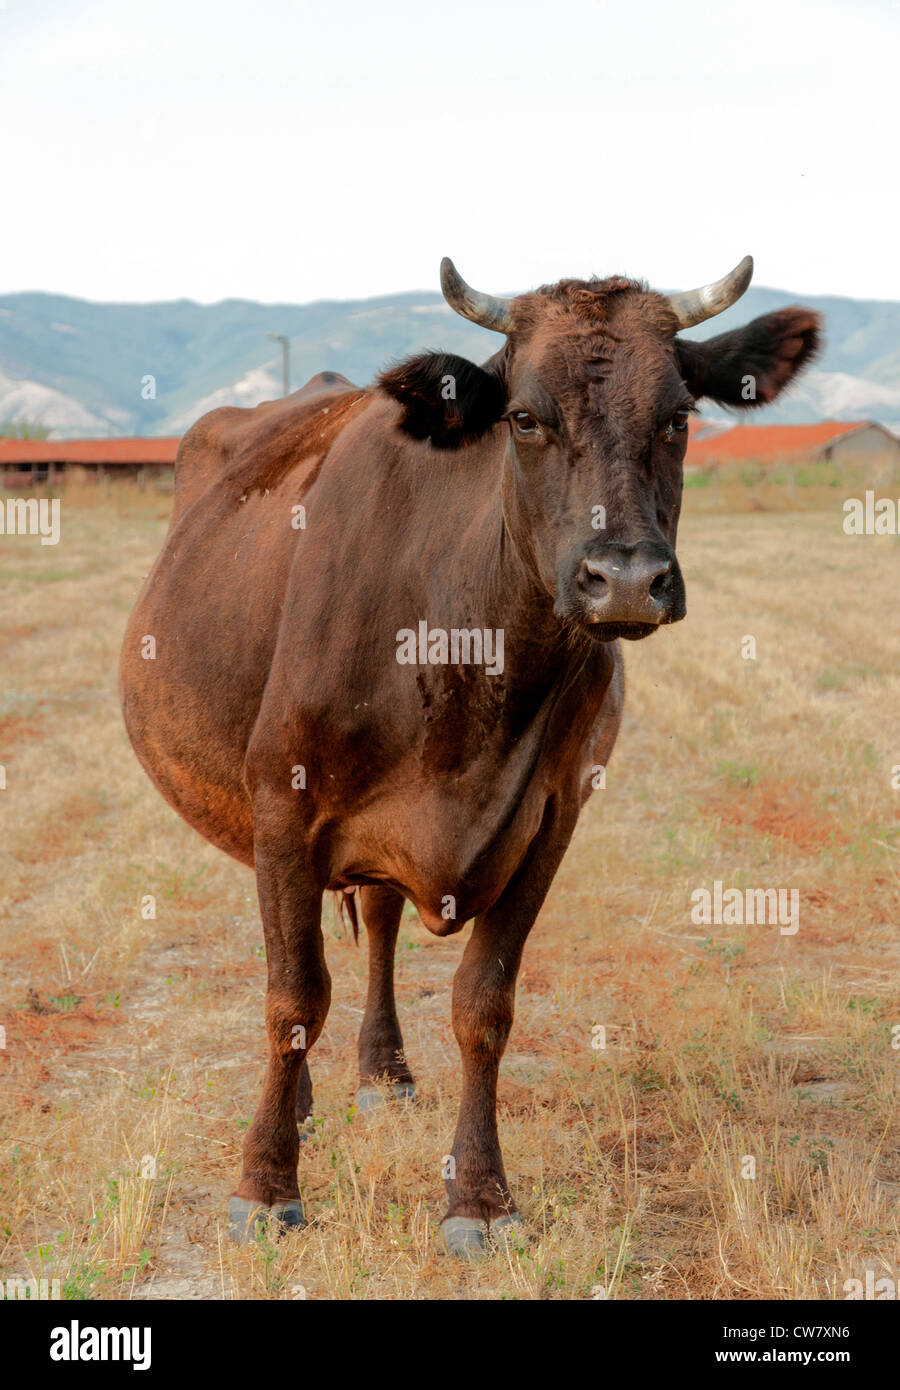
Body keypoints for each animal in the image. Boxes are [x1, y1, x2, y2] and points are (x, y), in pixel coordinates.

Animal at [120, 255, 820, 1257]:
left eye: (681, 415)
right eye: (524, 418)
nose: (626, 580)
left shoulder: (554, 815)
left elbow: (484, 1005)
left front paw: (480, 1198)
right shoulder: (283, 800)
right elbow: (291, 997)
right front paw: (264, 1185)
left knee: (376, 921)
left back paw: (383, 1075)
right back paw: (301, 1104)